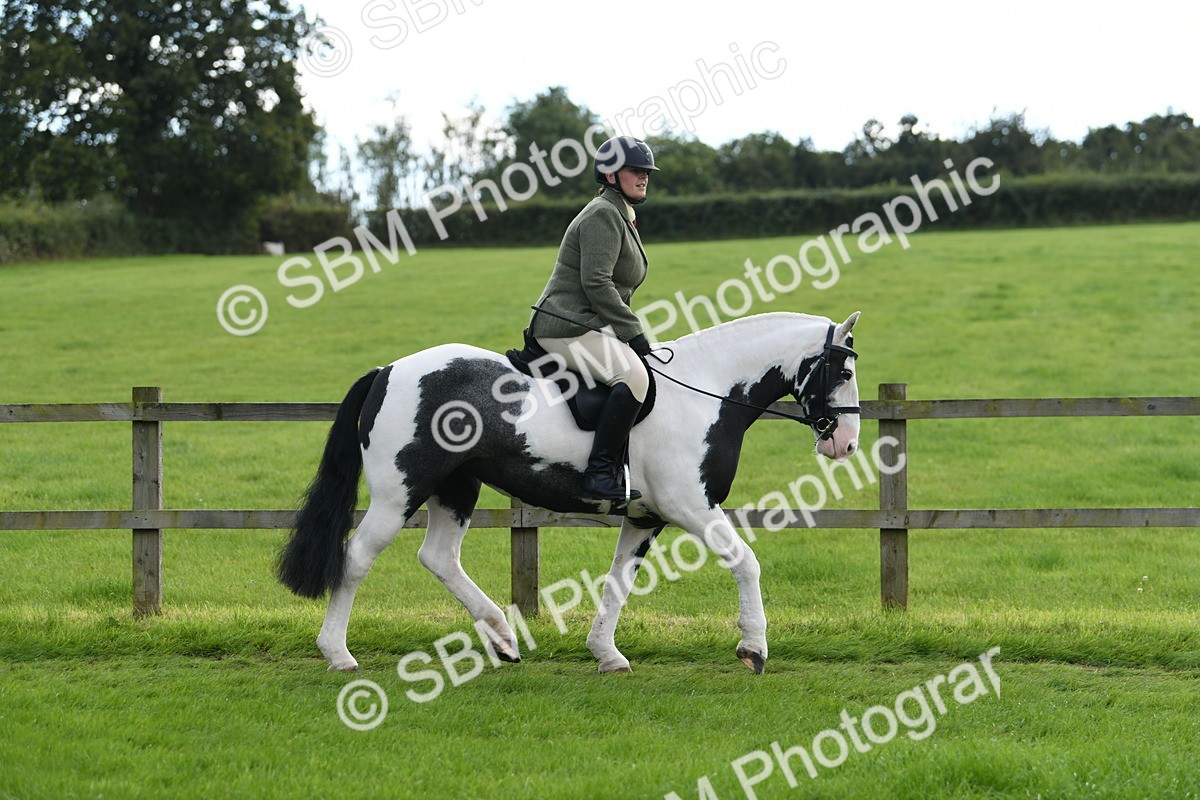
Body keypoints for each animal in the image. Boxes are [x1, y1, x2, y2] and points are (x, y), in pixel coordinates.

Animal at [278, 310, 861, 674]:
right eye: (842, 369)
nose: (847, 442)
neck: (709, 392)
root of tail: (389, 370)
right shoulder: (690, 506)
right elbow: (746, 562)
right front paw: (753, 649)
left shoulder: (645, 517)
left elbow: (618, 582)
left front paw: (606, 654)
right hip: (399, 492)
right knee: (357, 557)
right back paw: (338, 654)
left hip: (456, 486)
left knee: (439, 556)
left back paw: (502, 637)